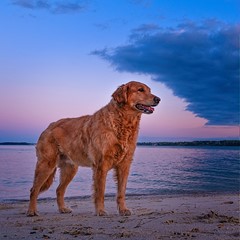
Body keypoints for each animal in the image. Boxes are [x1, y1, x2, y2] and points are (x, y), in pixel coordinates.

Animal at [27, 81, 160, 217]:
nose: (158, 99)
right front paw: (100, 210)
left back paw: (63, 209)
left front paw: (123, 210)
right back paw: (32, 211)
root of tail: (48, 127)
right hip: (46, 165)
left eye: (149, 90)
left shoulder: (124, 165)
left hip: (70, 169)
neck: (122, 122)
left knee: (59, 190)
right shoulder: (101, 165)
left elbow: (121, 192)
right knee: (34, 189)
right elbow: (100, 192)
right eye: (140, 90)